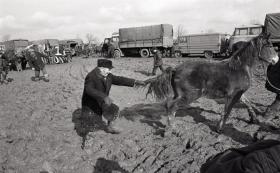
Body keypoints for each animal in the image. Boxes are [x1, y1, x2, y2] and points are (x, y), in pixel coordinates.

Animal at [143, 32, 278, 132]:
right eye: (270, 46)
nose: (276, 60)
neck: (240, 67)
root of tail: (175, 69)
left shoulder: (237, 93)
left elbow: (246, 103)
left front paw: (254, 119)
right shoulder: (235, 94)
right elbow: (228, 110)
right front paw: (219, 128)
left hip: (180, 94)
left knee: (168, 104)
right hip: (190, 95)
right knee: (171, 106)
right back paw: (172, 129)